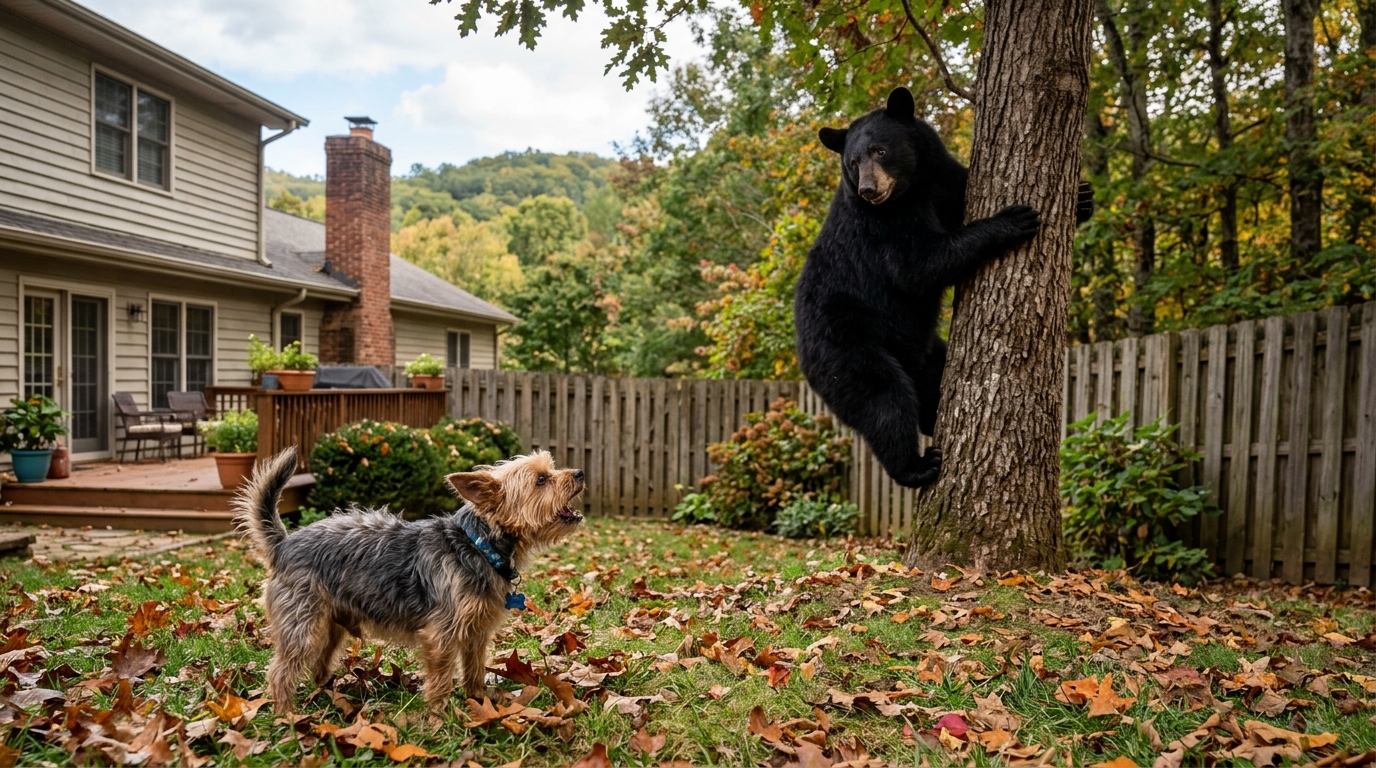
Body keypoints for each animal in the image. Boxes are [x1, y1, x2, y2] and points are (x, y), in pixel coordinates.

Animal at [794, 86, 1086, 489]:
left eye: (880, 151)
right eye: (853, 161)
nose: (869, 189)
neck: (912, 187)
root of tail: (801, 351)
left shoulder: (943, 181)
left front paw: (1083, 199)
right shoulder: (880, 228)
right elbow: (919, 264)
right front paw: (1012, 220)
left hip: (923, 351)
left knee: (930, 378)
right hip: (844, 341)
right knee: (882, 396)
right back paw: (916, 466)